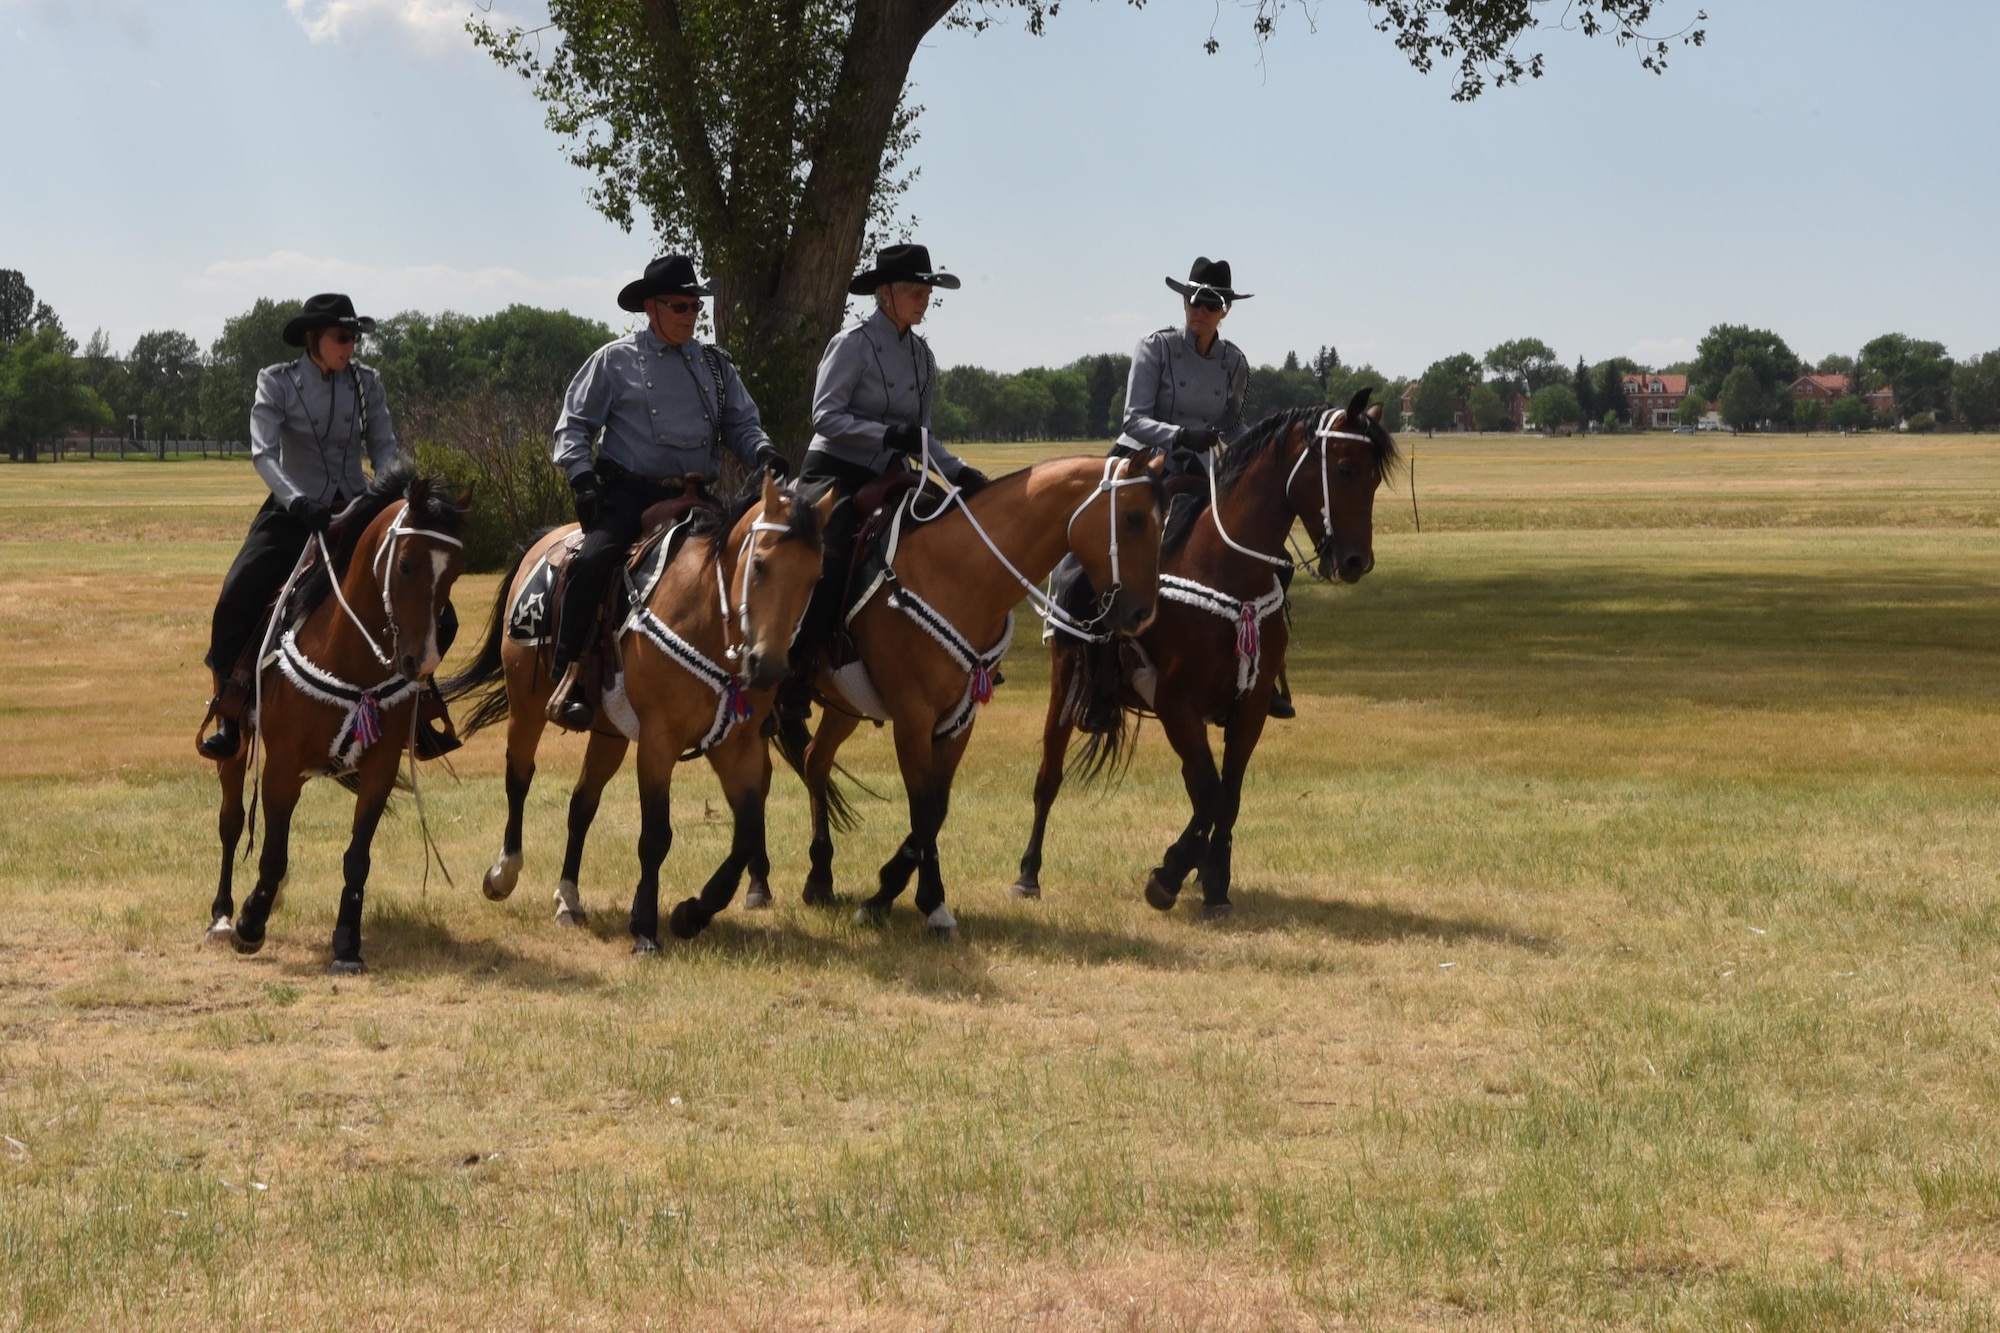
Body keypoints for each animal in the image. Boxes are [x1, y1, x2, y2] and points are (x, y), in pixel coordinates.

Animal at [206, 462, 472, 972]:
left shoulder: (380, 768)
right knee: (231, 822)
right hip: (238, 743)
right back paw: (223, 915)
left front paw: (347, 942)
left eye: (456, 569)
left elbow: (357, 858)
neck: (349, 657)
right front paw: (250, 924)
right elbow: (273, 854)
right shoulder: (282, 765)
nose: (421, 661)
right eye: (405, 564)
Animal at [446, 472, 836, 948]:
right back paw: (503, 873)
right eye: (759, 564)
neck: (707, 614)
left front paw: (692, 913)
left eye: (816, 575)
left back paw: (568, 899)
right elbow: (655, 836)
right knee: (518, 779)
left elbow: (745, 834)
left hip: (608, 733)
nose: (769, 667)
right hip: (527, 708)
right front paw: (645, 928)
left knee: (581, 806)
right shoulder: (657, 741)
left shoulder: (736, 745)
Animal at [772, 452, 1168, 940]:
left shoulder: (958, 719)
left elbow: (936, 807)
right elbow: (923, 807)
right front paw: (921, 901)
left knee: (814, 762)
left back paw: (819, 878)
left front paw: (895, 893)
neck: (959, 573)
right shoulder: (913, 717)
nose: (1142, 614)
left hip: (846, 705)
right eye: (1132, 518)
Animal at [1008, 390, 1400, 920]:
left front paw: (1211, 880)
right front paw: (1170, 875)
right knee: (1049, 775)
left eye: (1374, 476)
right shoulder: (1177, 702)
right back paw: (1028, 873)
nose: (1357, 561)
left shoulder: (1249, 706)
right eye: (1342, 468)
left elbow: (1224, 794)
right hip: (1066, 678)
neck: (1226, 571)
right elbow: (1212, 793)